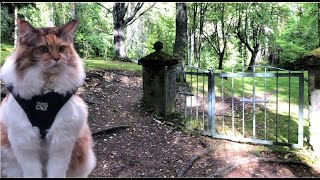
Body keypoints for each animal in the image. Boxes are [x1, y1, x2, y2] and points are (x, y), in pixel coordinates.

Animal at [0, 19, 96, 177]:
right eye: (43, 49)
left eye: (62, 49)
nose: (57, 58)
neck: (44, 96)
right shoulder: (24, 141)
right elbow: (32, 172)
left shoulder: (61, 140)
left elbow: (56, 171)